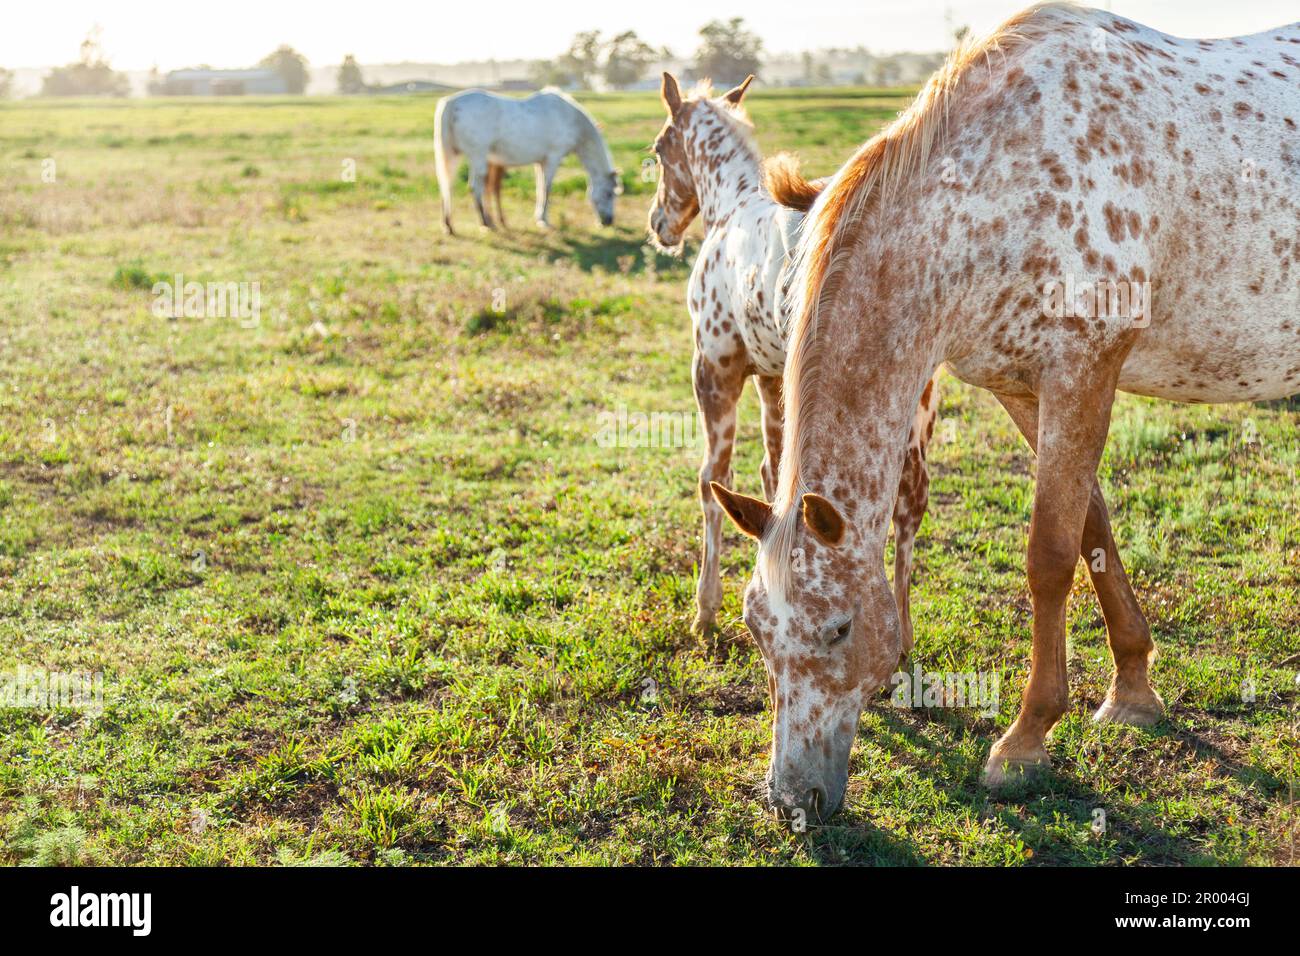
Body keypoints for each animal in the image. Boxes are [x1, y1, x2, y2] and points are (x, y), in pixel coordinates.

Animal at [434, 87, 621, 234]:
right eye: (609, 193)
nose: (608, 221)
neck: (570, 118)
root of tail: (451, 102)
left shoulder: (540, 162)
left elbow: (539, 188)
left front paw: (539, 217)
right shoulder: (553, 158)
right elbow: (547, 188)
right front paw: (543, 221)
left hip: (453, 155)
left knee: (446, 185)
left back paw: (448, 226)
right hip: (478, 156)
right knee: (474, 187)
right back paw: (485, 223)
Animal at [644, 72, 941, 642]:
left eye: (659, 148)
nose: (658, 224)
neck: (731, 210)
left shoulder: (714, 369)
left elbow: (712, 477)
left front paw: (706, 607)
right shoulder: (770, 379)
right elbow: (771, 472)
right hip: (915, 395)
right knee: (909, 500)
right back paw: (902, 635)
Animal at [707, 1, 1300, 822]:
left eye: (839, 629)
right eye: (755, 629)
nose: (794, 801)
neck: (999, 188)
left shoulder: (1084, 372)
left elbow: (1049, 558)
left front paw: (1026, 740)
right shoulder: (1021, 386)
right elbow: (1093, 527)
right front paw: (1134, 688)